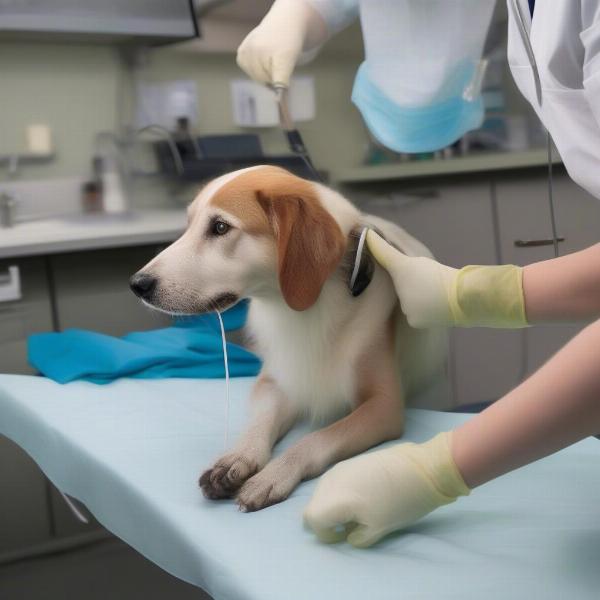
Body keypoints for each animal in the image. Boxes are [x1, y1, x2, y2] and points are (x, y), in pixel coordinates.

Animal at [131, 164, 446, 510]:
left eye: (220, 227)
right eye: (187, 226)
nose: (137, 284)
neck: (308, 309)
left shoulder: (383, 406)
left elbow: (319, 437)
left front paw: (275, 474)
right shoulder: (276, 382)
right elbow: (260, 424)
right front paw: (238, 457)